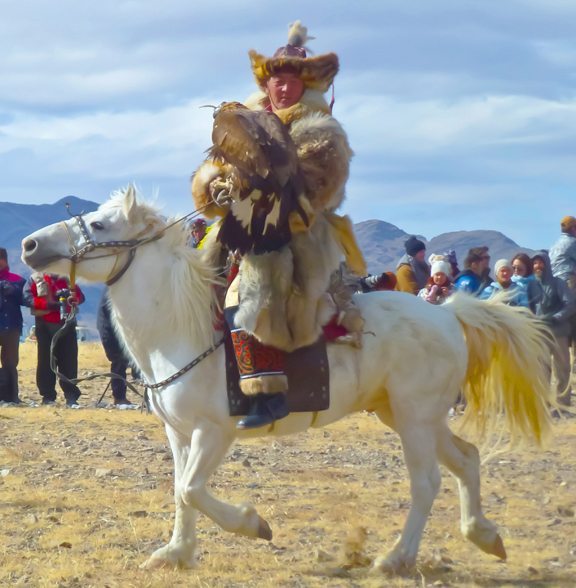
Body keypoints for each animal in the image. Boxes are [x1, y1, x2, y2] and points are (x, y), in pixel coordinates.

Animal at [21, 187, 552, 576]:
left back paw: (396, 558)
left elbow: (191, 489)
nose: (29, 246)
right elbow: (179, 489)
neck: (180, 327)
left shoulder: (215, 432)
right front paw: (175, 553)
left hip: (416, 418)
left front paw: (252, 524)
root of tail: (447, 314)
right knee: (467, 459)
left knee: (427, 482)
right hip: (407, 413)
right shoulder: (179, 433)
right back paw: (485, 536)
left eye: (99, 225)